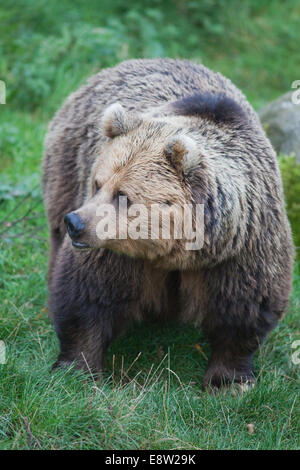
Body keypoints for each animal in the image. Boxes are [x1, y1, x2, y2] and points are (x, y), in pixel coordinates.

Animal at [43, 57, 294, 390]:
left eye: (123, 195)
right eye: (97, 184)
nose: (76, 222)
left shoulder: (241, 249)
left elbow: (245, 305)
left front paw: (229, 381)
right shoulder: (117, 252)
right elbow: (88, 293)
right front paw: (77, 367)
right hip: (67, 164)